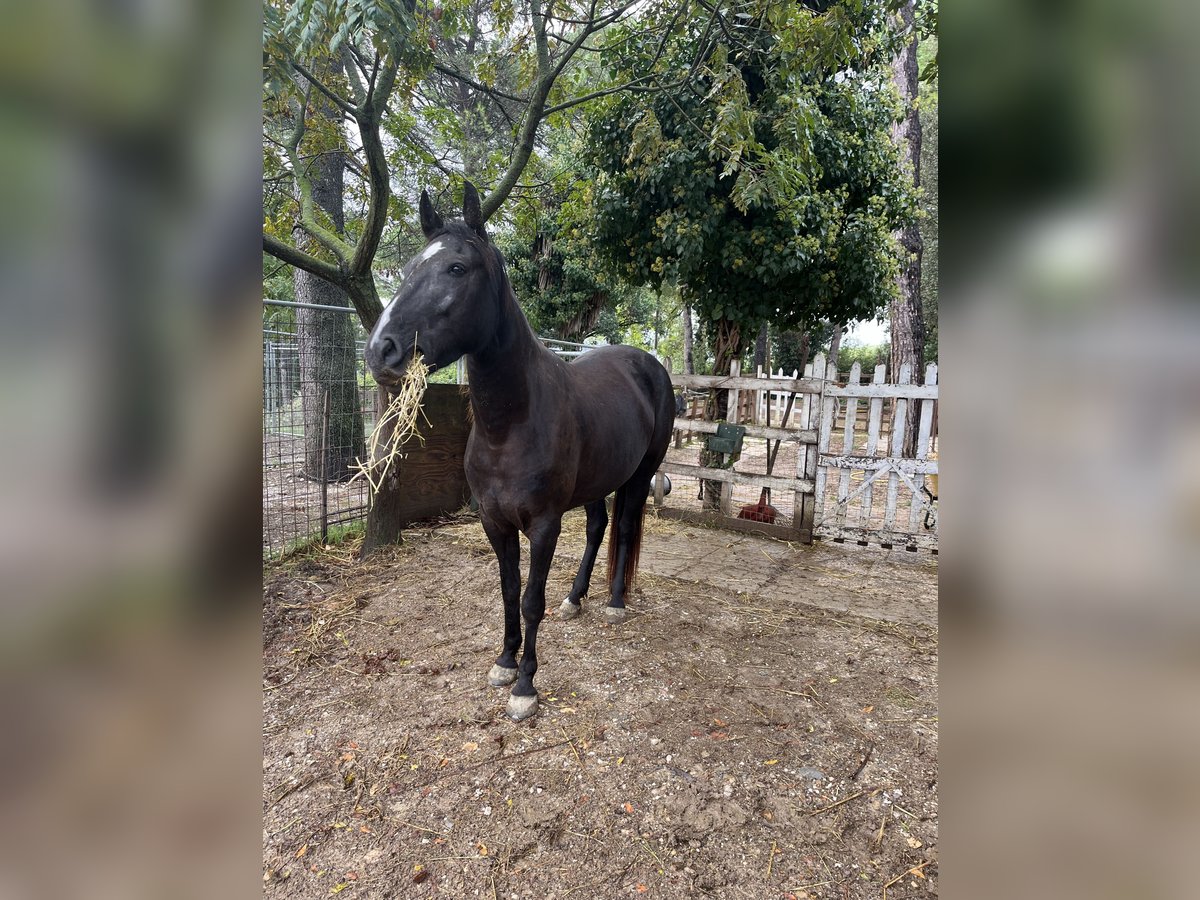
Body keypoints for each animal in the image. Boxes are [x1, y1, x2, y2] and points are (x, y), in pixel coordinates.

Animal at [360, 181, 681, 720]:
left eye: (457, 268)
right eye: (407, 268)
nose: (382, 351)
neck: (508, 428)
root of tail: (649, 365)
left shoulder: (543, 525)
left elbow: (531, 600)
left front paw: (526, 685)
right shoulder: (495, 522)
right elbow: (509, 591)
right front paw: (505, 662)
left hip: (639, 476)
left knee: (625, 525)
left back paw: (615, 603)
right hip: (597, 481)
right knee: (598, 526)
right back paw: (575, 598)